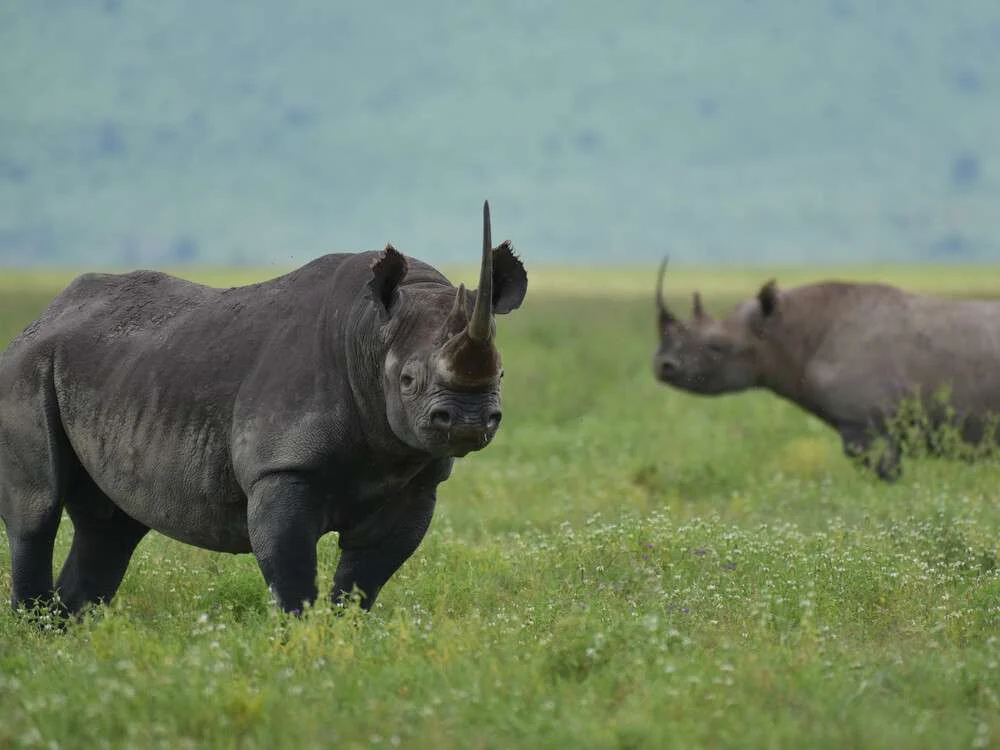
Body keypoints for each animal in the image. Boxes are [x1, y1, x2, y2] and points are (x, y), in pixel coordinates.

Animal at [0, 201, 527, 616]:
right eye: (408, 381)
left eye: (502, 375)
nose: (468, 421)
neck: (370, 336)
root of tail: (42, 315)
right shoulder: (281, 467)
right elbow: (292, 574)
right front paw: (302, 644)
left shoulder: (415, 482)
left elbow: (363, 581)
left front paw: (342, 640)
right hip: (26, 367)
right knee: (37, 511)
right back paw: (38, 633)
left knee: (111, 526)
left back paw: (69, 635)